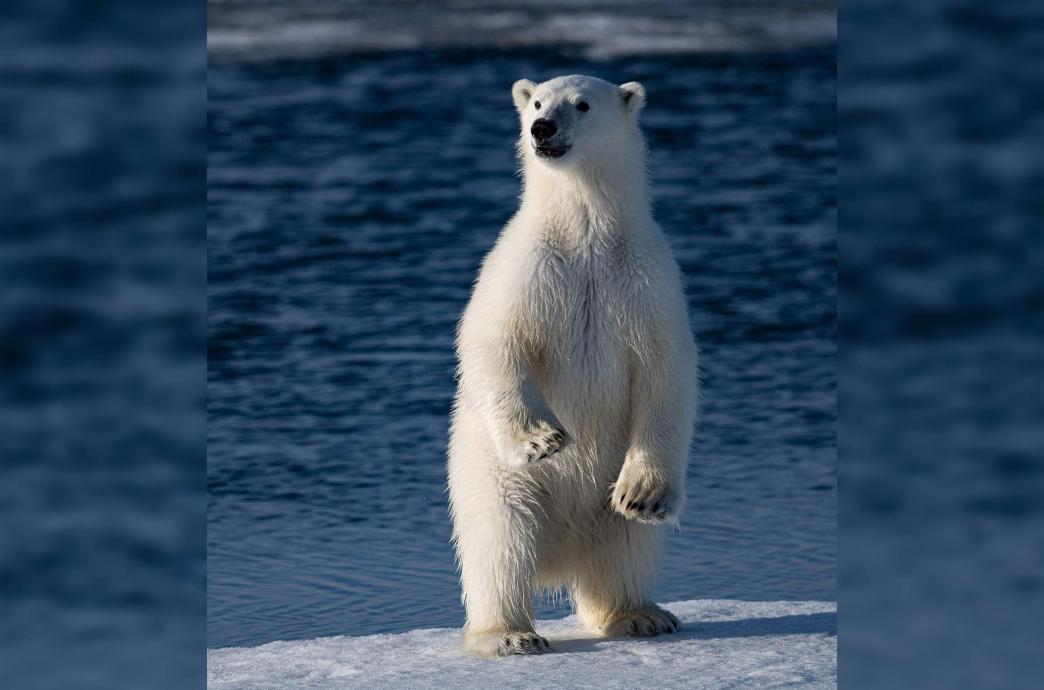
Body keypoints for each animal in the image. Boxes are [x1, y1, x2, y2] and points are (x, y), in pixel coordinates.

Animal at [447, 75, 698, 657]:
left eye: (581, 105)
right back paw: (508, 633)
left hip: (605, 496)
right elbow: (494, 341)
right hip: (492, 480)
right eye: (538, 102)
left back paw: (641, 613)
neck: (586, 235)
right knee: (501, 542)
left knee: (626, 544)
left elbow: (667, 371)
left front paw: (645, 493)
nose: (542, 128)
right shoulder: (525, 268)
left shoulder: (645, 279)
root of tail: (560, 561)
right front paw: (542, 440)